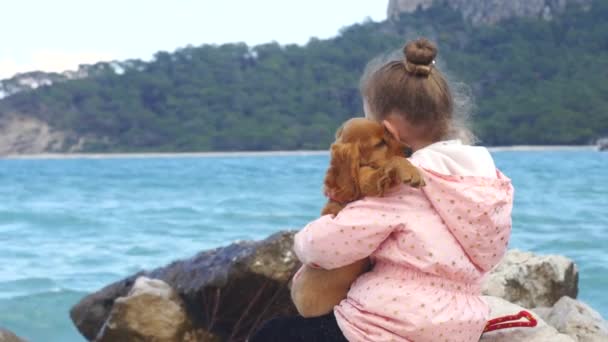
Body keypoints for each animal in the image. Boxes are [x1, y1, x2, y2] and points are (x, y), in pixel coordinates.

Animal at [290, 118, 422, 318]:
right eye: (380, 143)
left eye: (389, 134)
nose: (410, 150)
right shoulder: (368, 181)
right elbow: (391, 162)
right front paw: (410, 171)